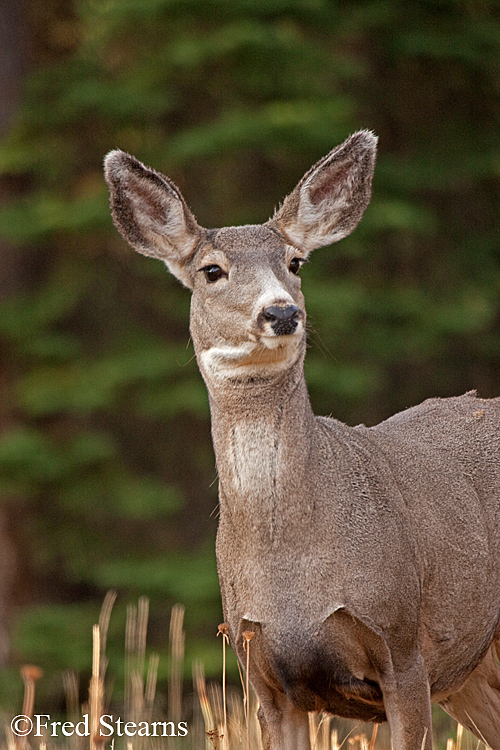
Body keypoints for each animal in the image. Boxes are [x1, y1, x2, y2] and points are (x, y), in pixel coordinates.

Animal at [104, 135, 500, 750]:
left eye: (294, 263)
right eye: (211, 270)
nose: (281, 311)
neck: (291, 569)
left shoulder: (403, 644)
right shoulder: (261, 671)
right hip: (473, 675)